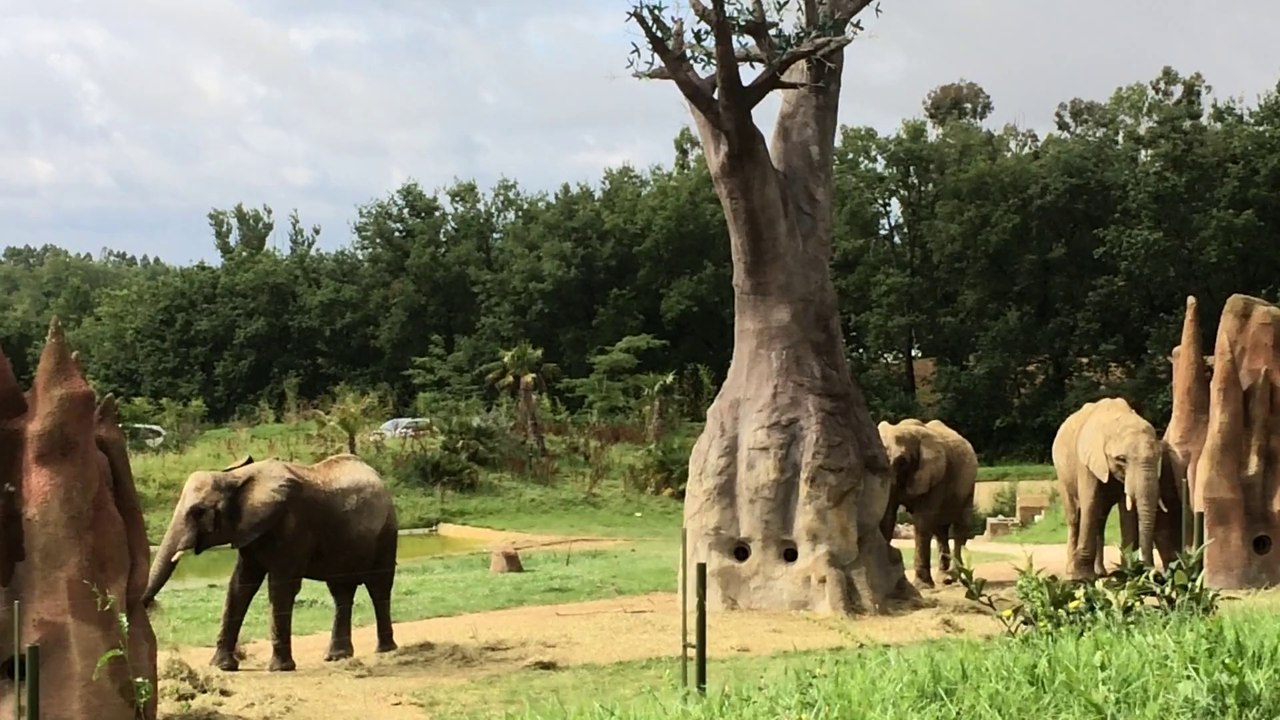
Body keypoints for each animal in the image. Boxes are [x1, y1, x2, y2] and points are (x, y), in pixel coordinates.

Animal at [142, 453, 399, 672]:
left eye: (198, 511)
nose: (152, 607)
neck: (236, 478)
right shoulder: (249, 532)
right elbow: (240, 586)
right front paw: (222, 667)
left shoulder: (292, 526)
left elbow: (280, 586)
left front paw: (279, 669)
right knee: (341, 591)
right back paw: (337, 656)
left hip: (386, 532)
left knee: (379, 588)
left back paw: (385, 650)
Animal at [877, 418, 979, 588]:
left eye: (902, 461)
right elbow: (888, 518)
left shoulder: (937, 477)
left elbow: (922, 520)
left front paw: (922, 586)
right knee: (940, 531)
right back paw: (944, 579)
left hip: (969, 485)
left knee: (960, 528)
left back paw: (957, 579)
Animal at [1052, 397, 1169, 580]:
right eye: (1121, 459)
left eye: (1158, 458)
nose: (1152, 572)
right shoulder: (1086, 461)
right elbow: (1090, 503)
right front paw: (1082, 578)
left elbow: (1127, 511)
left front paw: (1129, 573)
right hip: (1062, 474)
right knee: (1075, 517)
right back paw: (1071, 571)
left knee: (1100, 519)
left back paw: (1100, 572)